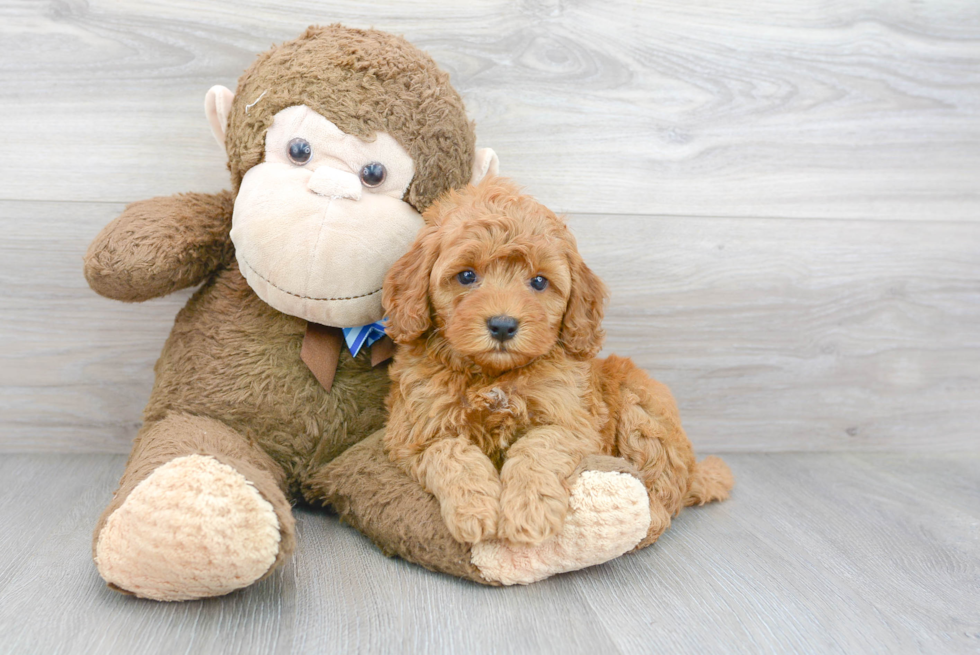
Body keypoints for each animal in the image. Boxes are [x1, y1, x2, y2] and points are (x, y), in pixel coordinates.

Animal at [378, 178, 732, 548]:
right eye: (466, 276)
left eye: (538, 281)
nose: (503, 325)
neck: (492, 376)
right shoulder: (413, 432)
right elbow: (450, 453)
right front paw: (474, 510)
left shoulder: (573, 424)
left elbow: (538, 446)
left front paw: (529, 510)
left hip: (640, 411)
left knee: (662, 497)